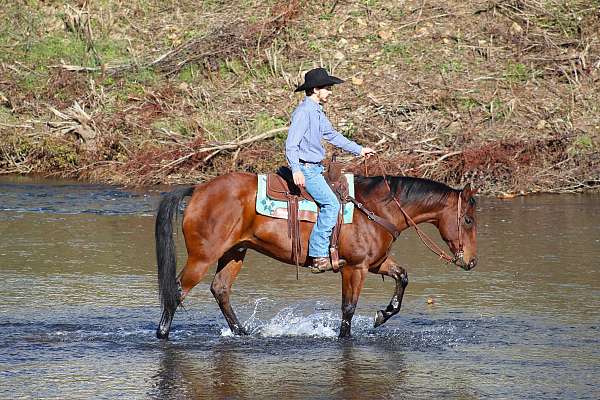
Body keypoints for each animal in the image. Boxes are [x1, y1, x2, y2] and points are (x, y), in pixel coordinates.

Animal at [155, 170, 478, 340]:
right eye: (467, 220)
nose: (471, 261)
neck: (376, 210)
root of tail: (199, 189)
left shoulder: (375, 263)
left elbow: (403, 277)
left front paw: (381, 315)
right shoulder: (355, 268)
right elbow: (348, 307)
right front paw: (345, 337)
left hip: (235, 252)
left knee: (220, 289)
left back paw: (243, 333)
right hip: (202, 257)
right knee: (177, 290)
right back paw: (162, 334)